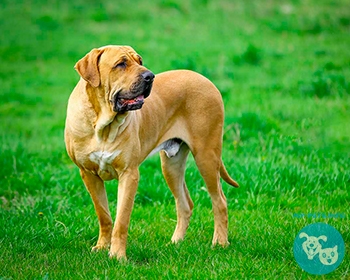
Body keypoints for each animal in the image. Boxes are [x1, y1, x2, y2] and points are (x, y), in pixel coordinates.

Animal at [64, 44, 239, 260]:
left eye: (139, 61)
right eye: (120, 64)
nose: (150, 76)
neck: (103, 125)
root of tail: (205, 80)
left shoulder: (129, 174)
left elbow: (121, 220)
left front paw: (117, 256)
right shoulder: (88, 174)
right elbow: (103, 214)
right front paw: (102, 247)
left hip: (206, 155)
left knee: (219, 201)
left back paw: (220, 242)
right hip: (171, 165)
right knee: (185, 204)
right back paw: (175, 242)